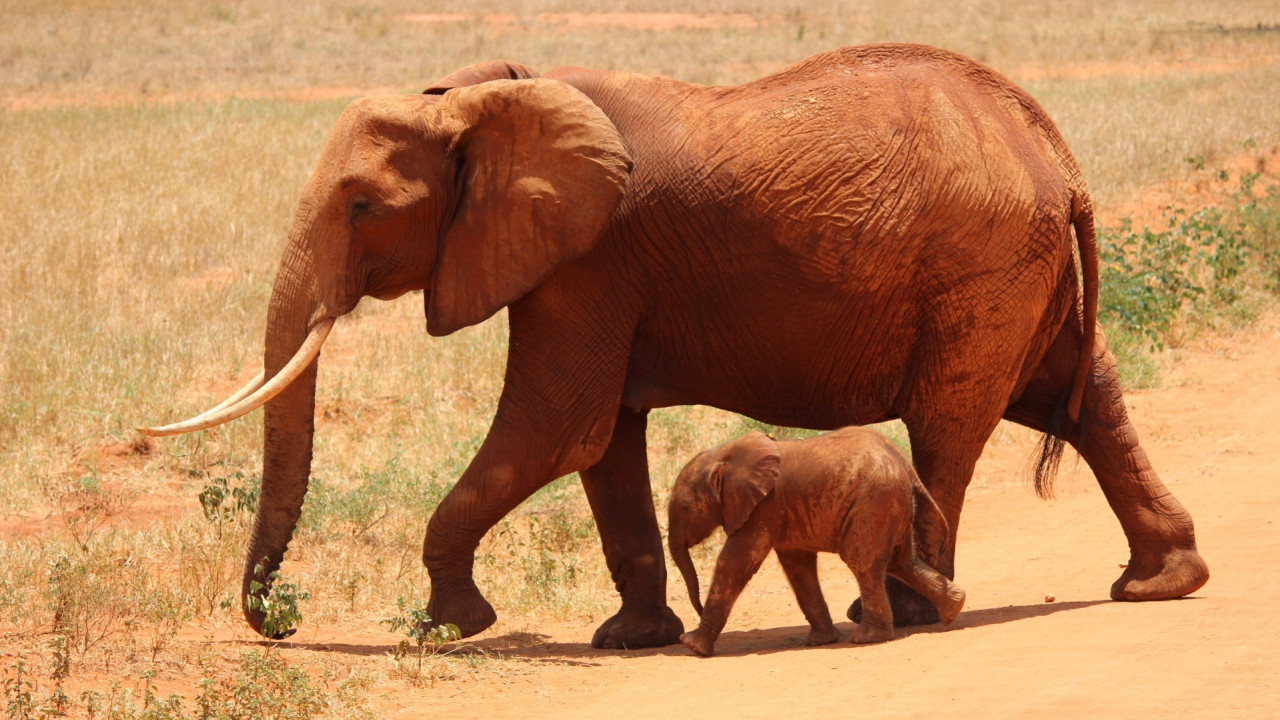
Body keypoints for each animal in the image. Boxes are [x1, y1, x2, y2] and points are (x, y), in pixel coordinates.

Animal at [668, 428, 966, 656]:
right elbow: (798, 568)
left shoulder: (764, 507)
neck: (724, 455)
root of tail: (905, 465)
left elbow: (735, 562)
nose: (697, 608)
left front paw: (693, 646)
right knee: (901, 562)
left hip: (873, 502)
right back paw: (955, 608)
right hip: (891, 504)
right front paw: (822, 641)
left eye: (684, 508)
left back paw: (867, 638)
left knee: (864, 563)